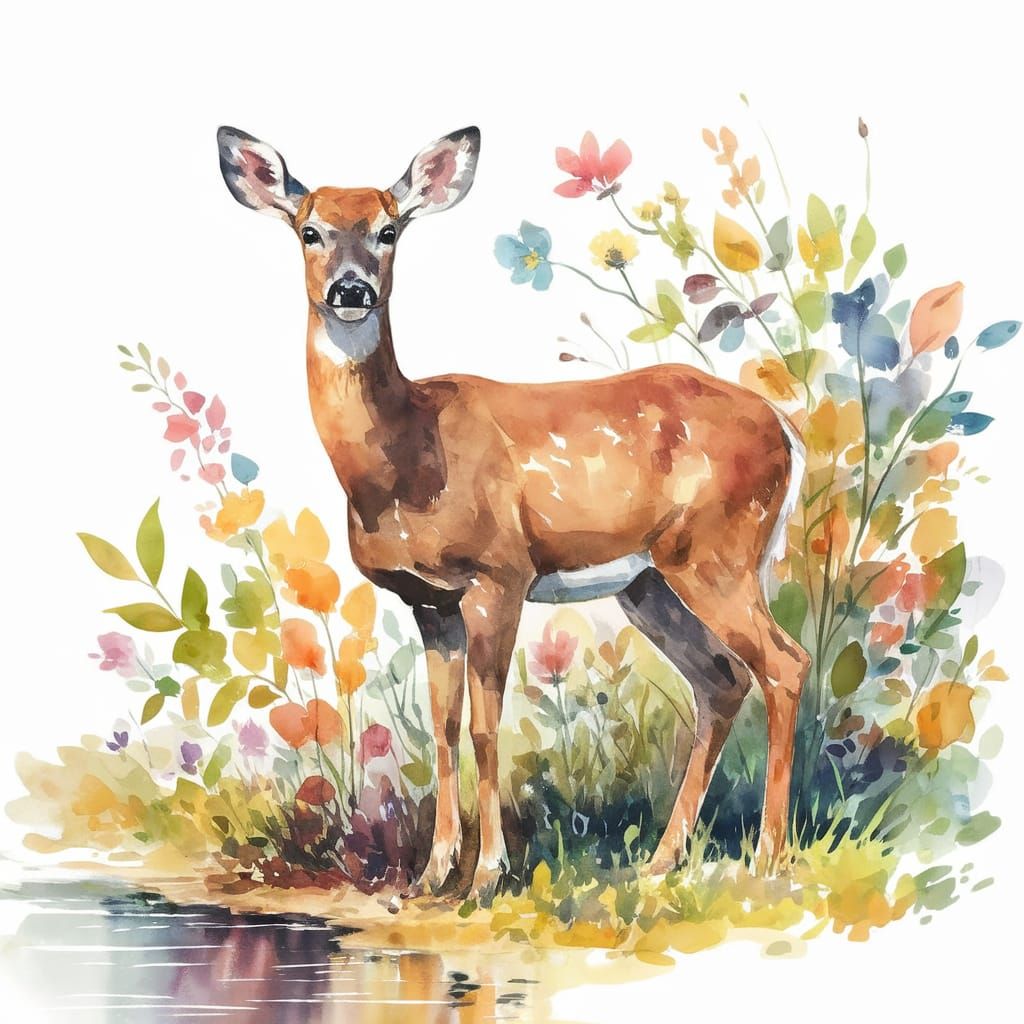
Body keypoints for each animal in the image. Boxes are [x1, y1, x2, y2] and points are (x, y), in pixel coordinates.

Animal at [217, 125, 810, 899]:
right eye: (309, 230)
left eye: (388, 230)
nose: (352, 289)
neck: (407, 458)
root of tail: (787, 431)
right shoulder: (429, 600)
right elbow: (441, 728)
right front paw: (429, 875)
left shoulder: (498, 574)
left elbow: (485, 726)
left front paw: (486, 877)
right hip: (649, 581)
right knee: (722, 678)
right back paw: (659, 862)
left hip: (717, 552)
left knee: (786, 663)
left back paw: (769, 858)